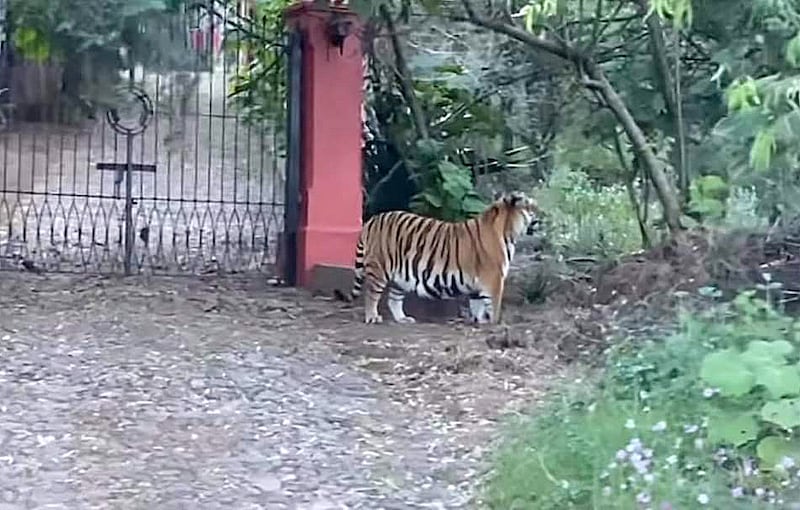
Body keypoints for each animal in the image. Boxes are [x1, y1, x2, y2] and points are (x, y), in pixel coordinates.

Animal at [334, 189, 540, 324]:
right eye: (532, 208)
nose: (542, 215)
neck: (508, 231)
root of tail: (373, 220)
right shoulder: (495, 278)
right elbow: (494, 304)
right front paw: (495, 323)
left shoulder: (478, 284)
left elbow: (478, 304)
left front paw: (479, 321)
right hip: (379, 269)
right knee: (371, 294)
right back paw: (372, 317)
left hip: (399, 277)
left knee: (393, 299)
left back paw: (403, 319)